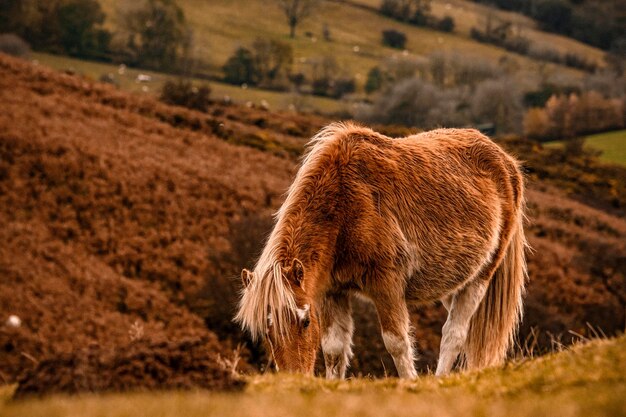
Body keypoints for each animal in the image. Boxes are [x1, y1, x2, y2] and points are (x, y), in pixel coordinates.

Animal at [235, 122, 528, 378]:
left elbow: (396, 342)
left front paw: (410, 383)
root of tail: (506, 162)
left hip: (480, 278)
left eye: (305, 321)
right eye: (266, 330)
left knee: (453, 335)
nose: (294, 379)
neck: (345, 204)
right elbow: (334, 350)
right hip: (453, 282)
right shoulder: (332, 292)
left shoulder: (387, 286)